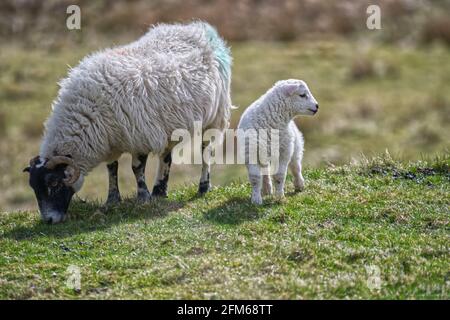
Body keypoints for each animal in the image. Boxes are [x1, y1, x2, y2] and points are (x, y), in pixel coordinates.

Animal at [22, 21, 232, 224]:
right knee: (166, 156)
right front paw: (113, 199)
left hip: (215, 116)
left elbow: (136, 168)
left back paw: (203, 186)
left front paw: (143, 197)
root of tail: (201, 29)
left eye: (54, 183)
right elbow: (112, 169)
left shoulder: (140, 136)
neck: (87, 114)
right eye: (34, 187)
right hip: (169, 124)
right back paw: (159, 190)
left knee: (205, 151)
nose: (49, 220)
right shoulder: (109, 142)